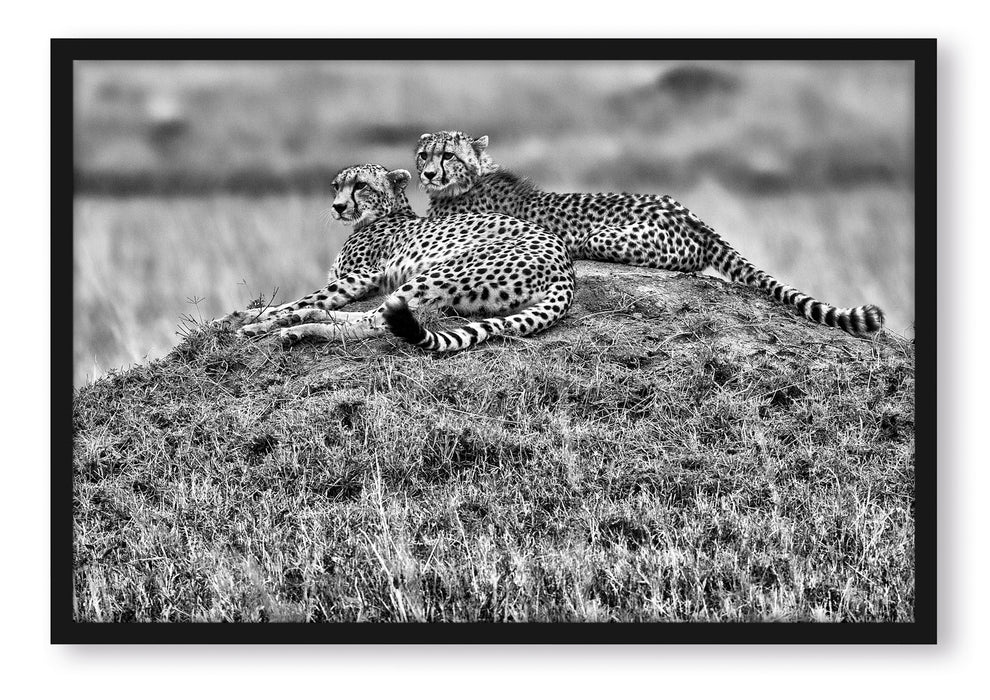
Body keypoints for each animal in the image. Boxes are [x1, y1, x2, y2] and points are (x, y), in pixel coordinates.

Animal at [217, 163, 572, 350]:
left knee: (375, 324)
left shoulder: (362, 276)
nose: (338, 206)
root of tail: (564, 266)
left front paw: (254, 321)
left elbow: (300, 300)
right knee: (372, 315)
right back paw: (299, 322)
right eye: (336, 186)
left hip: (440, 272)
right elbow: (293, 301)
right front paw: (239, 316)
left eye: (360, 185)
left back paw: (293, 329)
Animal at [414, 133, 888, 340]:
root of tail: (691, 214)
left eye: (448, 155)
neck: (469, 179)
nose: (428, 173)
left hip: (608, 238)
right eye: (423, 154)